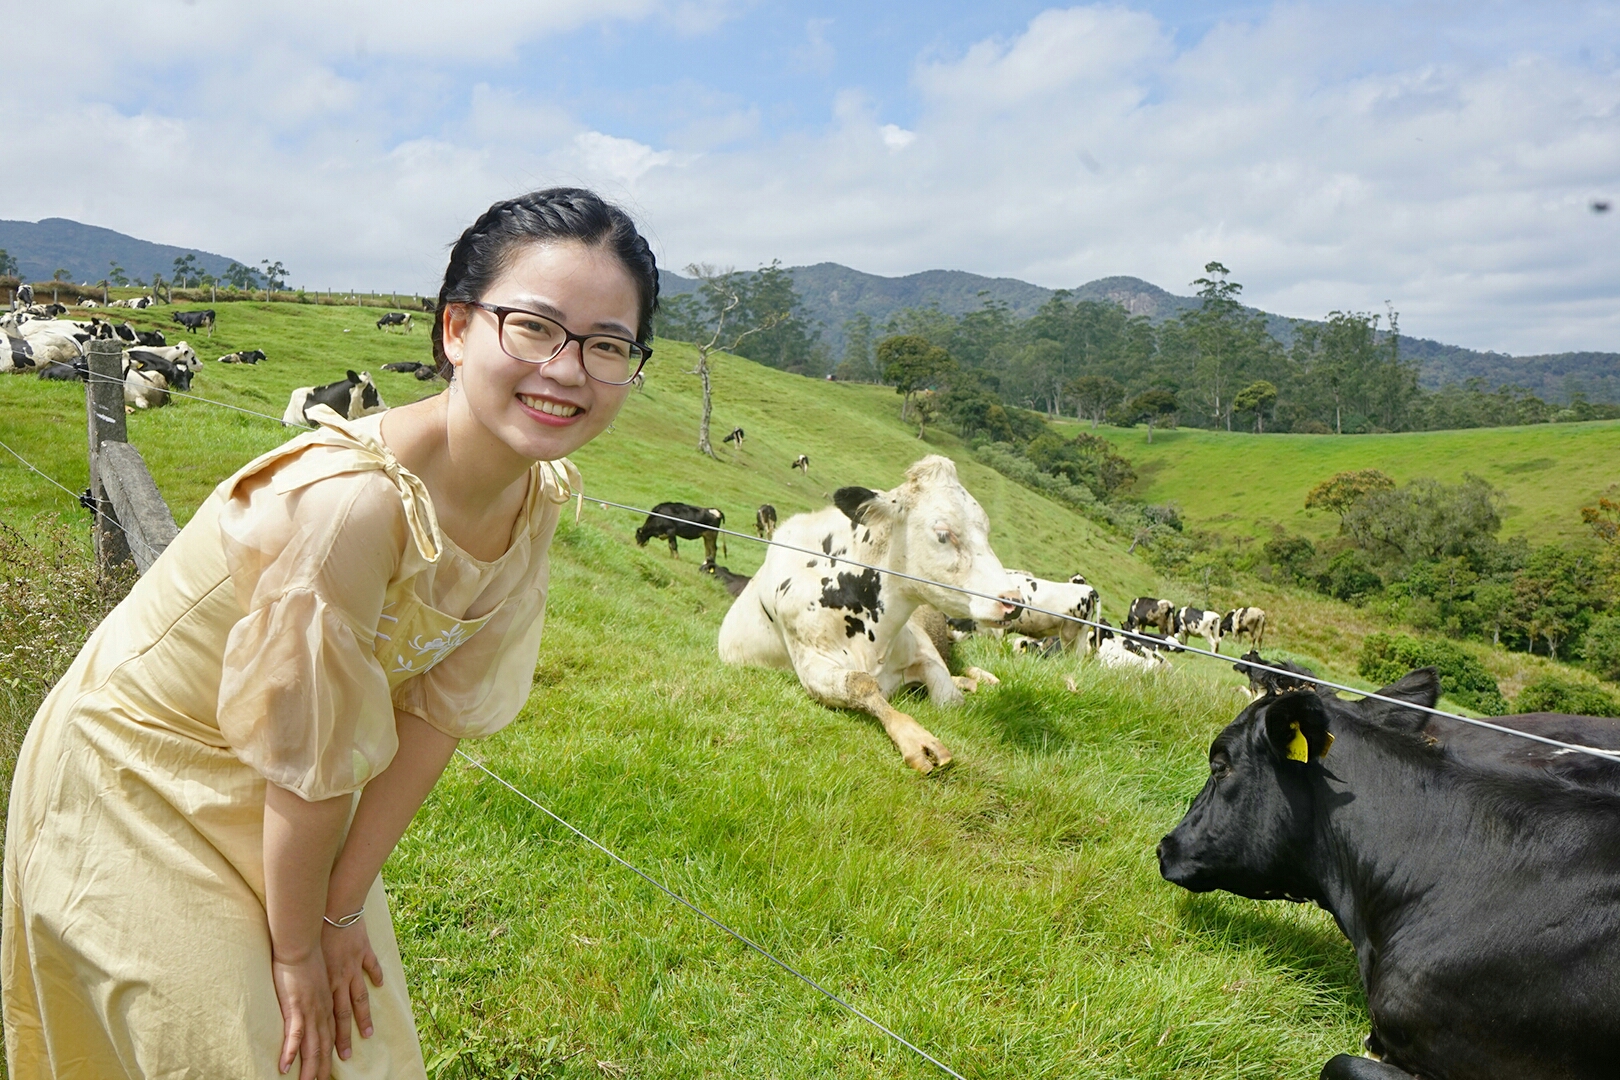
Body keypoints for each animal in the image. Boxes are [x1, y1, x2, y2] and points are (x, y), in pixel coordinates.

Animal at [716, 456, 1017, 777]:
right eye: (943, 534)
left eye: (986, 531)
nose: (1015, 601)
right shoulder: (812, 664)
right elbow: (861, 685)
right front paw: (916, 739)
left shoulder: (923, 648)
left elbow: (950, 699)